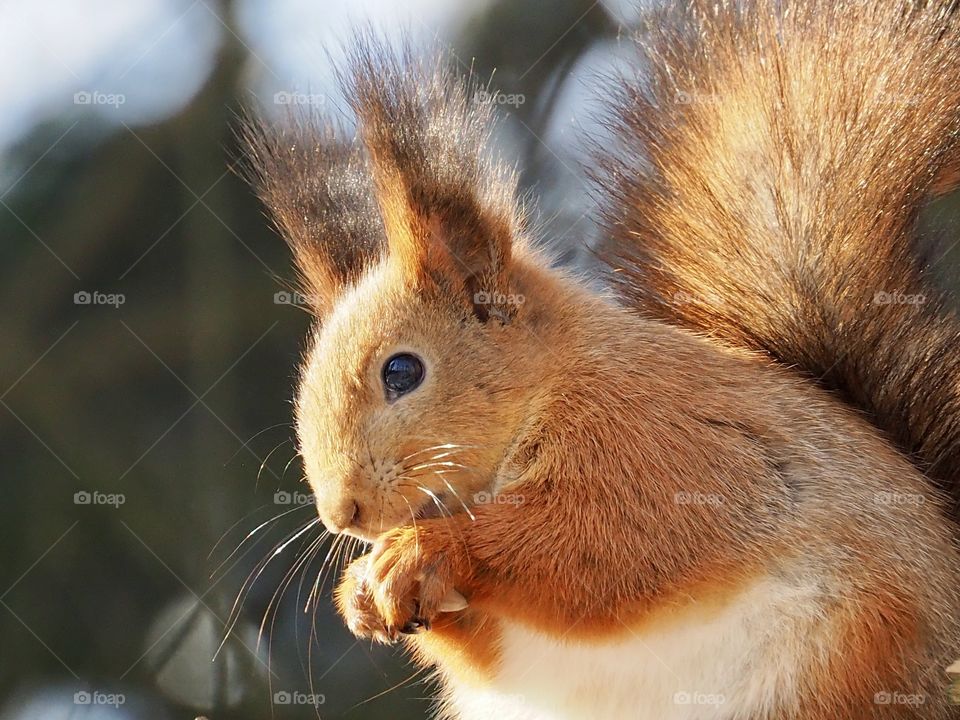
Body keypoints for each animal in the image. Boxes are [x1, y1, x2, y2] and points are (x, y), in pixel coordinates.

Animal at [242, 1, 960, 718]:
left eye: (402, 371)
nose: (344, 514)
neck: (552, 383)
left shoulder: (663, 442)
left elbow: (601, 543)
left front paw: (423, 550)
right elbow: (489, 648)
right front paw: (360, 592)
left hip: (847, 659)